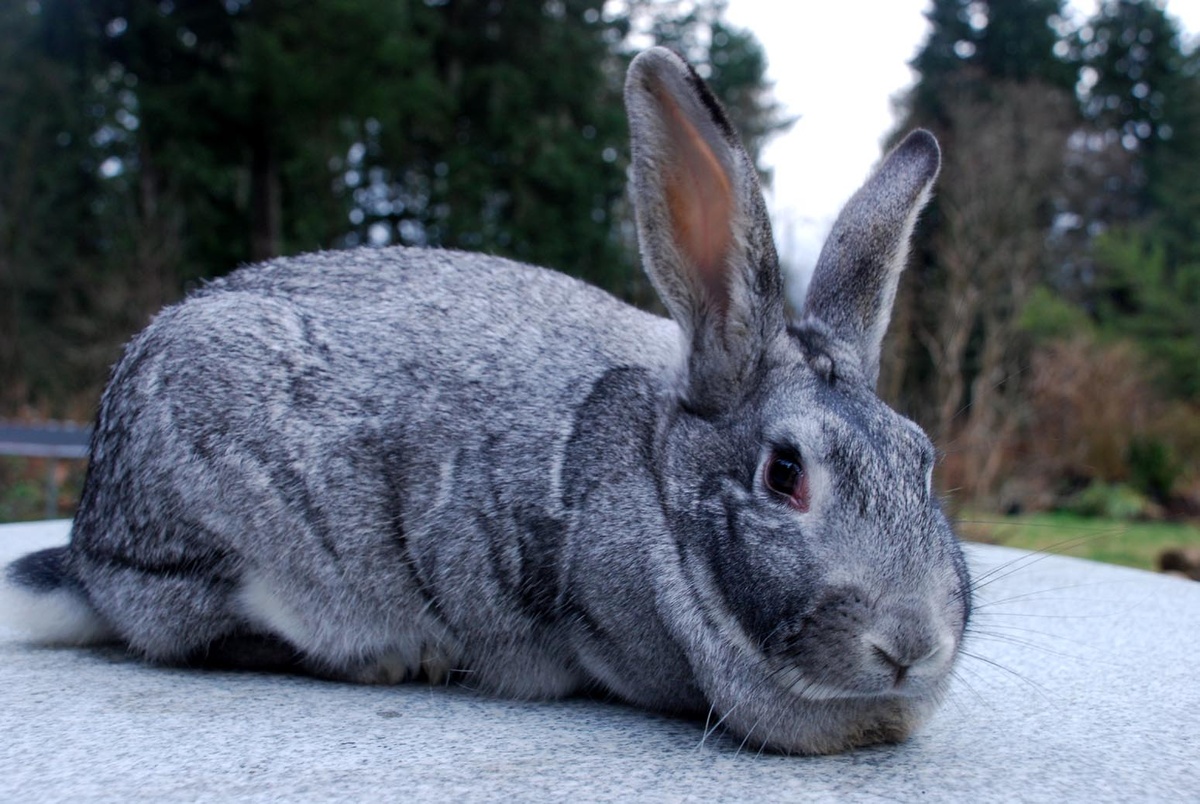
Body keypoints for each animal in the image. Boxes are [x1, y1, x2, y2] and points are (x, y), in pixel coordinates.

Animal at [0, 48, 969, 758]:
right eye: (783, 474)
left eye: (923, 462)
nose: (911, 645)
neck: (658, 484)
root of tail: (89, 538)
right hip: (218, 539)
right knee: (203, 636)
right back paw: (403, 658)